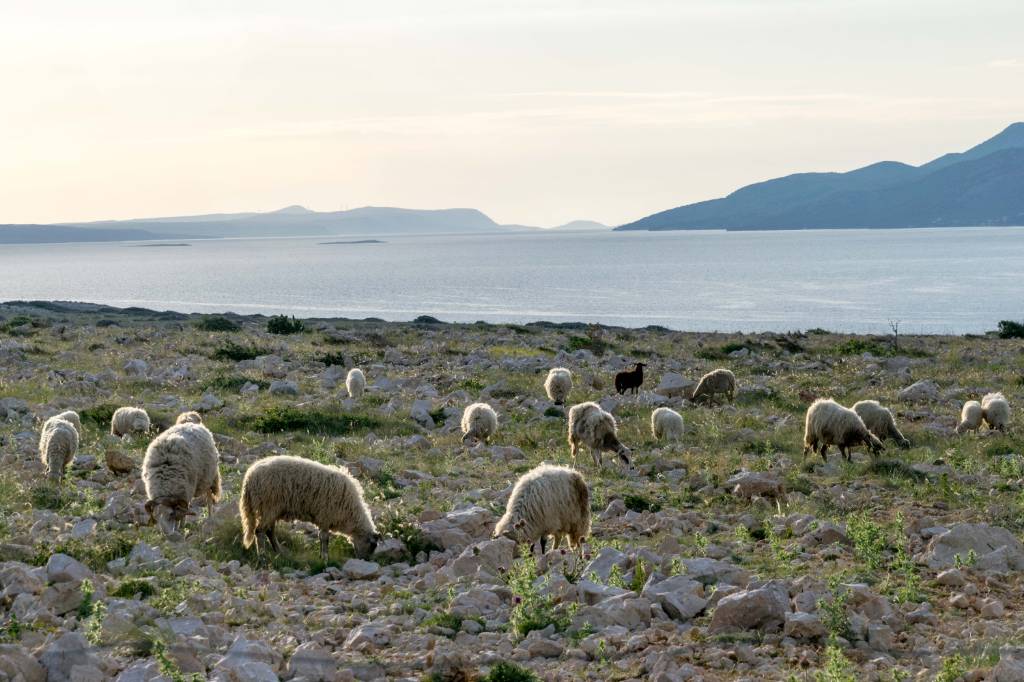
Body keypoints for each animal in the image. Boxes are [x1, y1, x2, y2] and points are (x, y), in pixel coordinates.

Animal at [239, 454, 380, 561]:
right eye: (372, 545)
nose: (365, 560)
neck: (351, 513)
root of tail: (249, 477)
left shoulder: (323, 518)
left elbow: (321, 537)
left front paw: (321, 556)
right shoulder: (326, 516)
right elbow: (325, 538)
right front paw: (325, 558)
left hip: (271, 509)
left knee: (269, 531)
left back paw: (279, 552)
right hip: (268, 506)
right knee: (259, 531)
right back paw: (262, 556)